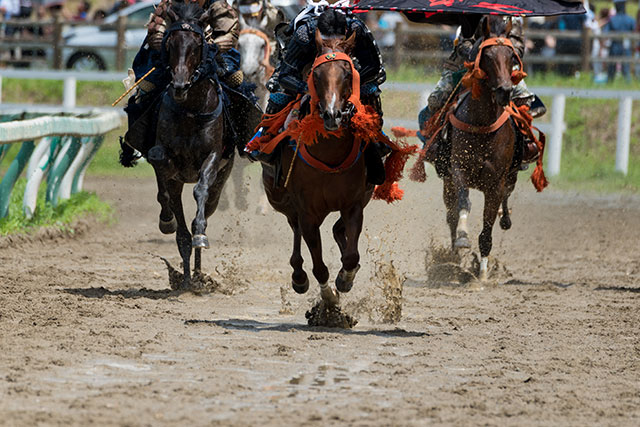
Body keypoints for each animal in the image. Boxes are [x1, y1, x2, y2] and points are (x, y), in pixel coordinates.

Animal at [126, 2, 234, 288]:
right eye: (171, 43)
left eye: (197, 45)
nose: (179, 85)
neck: (190, 111)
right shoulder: (164, 159)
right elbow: (161, 177)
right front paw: (167, 221)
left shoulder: (212, 156)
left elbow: (200, 190)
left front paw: (201, 234)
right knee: (181, 231)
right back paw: (187, 276)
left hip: (221, 182)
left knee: (204, 211)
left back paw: (197, 271)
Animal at [262, 30, 376, 308]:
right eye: (316, 75)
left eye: (347, 73)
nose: (332, 115)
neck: (329, 153)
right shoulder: (308, 212)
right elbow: (319, 266)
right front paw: (328, 297)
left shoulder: (353, 204)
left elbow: (351, 256)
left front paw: (345, 279)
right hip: (280, 199)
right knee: (295, 229)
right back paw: (298, 276)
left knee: (337, 231)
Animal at [444, 16, 544, 282]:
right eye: (486, 55)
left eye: (511, 57)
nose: (504, 91)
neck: (482, 126)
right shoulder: (459, 171)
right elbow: (463, 204)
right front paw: (462, 238)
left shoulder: (496, 183)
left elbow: (487, 227)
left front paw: (482, 273)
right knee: (450, 213)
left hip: (511, 174)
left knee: (506, 199)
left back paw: (505, 218)